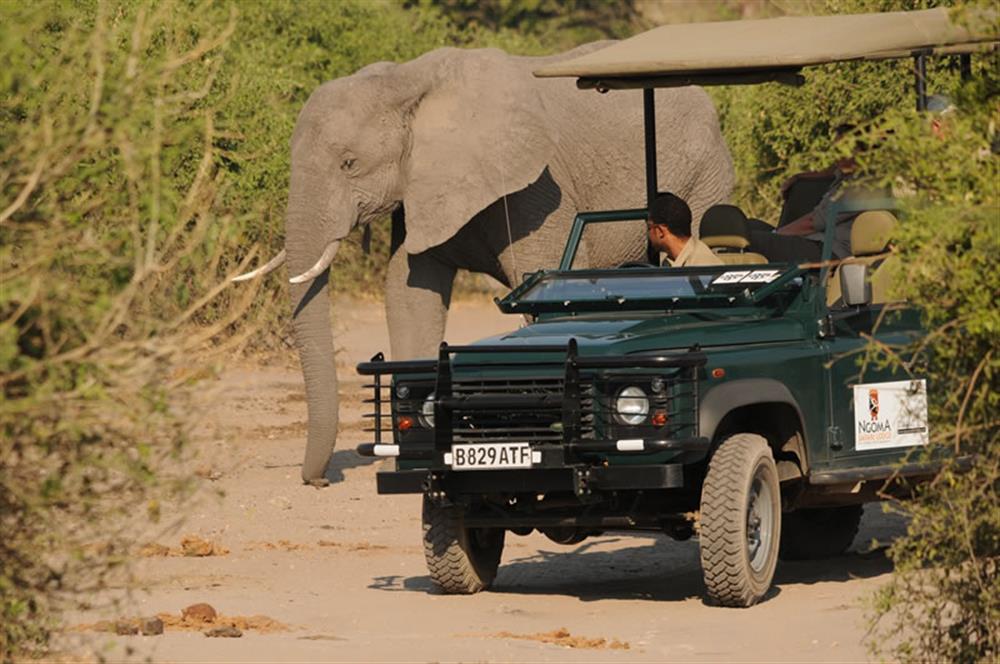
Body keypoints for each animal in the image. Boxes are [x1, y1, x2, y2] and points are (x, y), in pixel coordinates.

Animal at [234, 44, 736, 486]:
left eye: (349, 163)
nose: (318, 481)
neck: (409, 81)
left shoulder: (538, 190)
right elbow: (409, 293)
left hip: (706, 176)